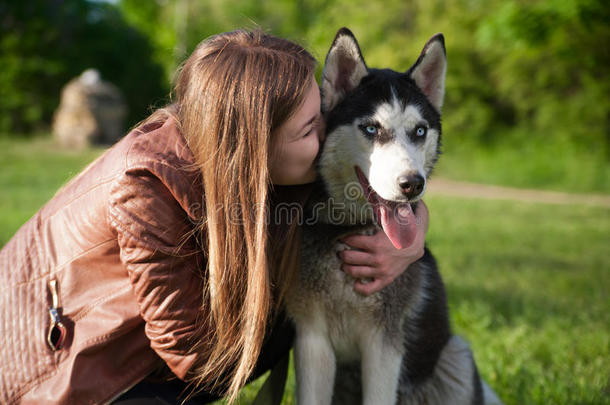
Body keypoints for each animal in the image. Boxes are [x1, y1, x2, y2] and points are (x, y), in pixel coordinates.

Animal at [282, 29, 496, 404]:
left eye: (420, 131)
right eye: (371, 129)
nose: (412, 184)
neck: (346, 231)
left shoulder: (384, 344)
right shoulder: (311, 339)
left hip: (455, 355)